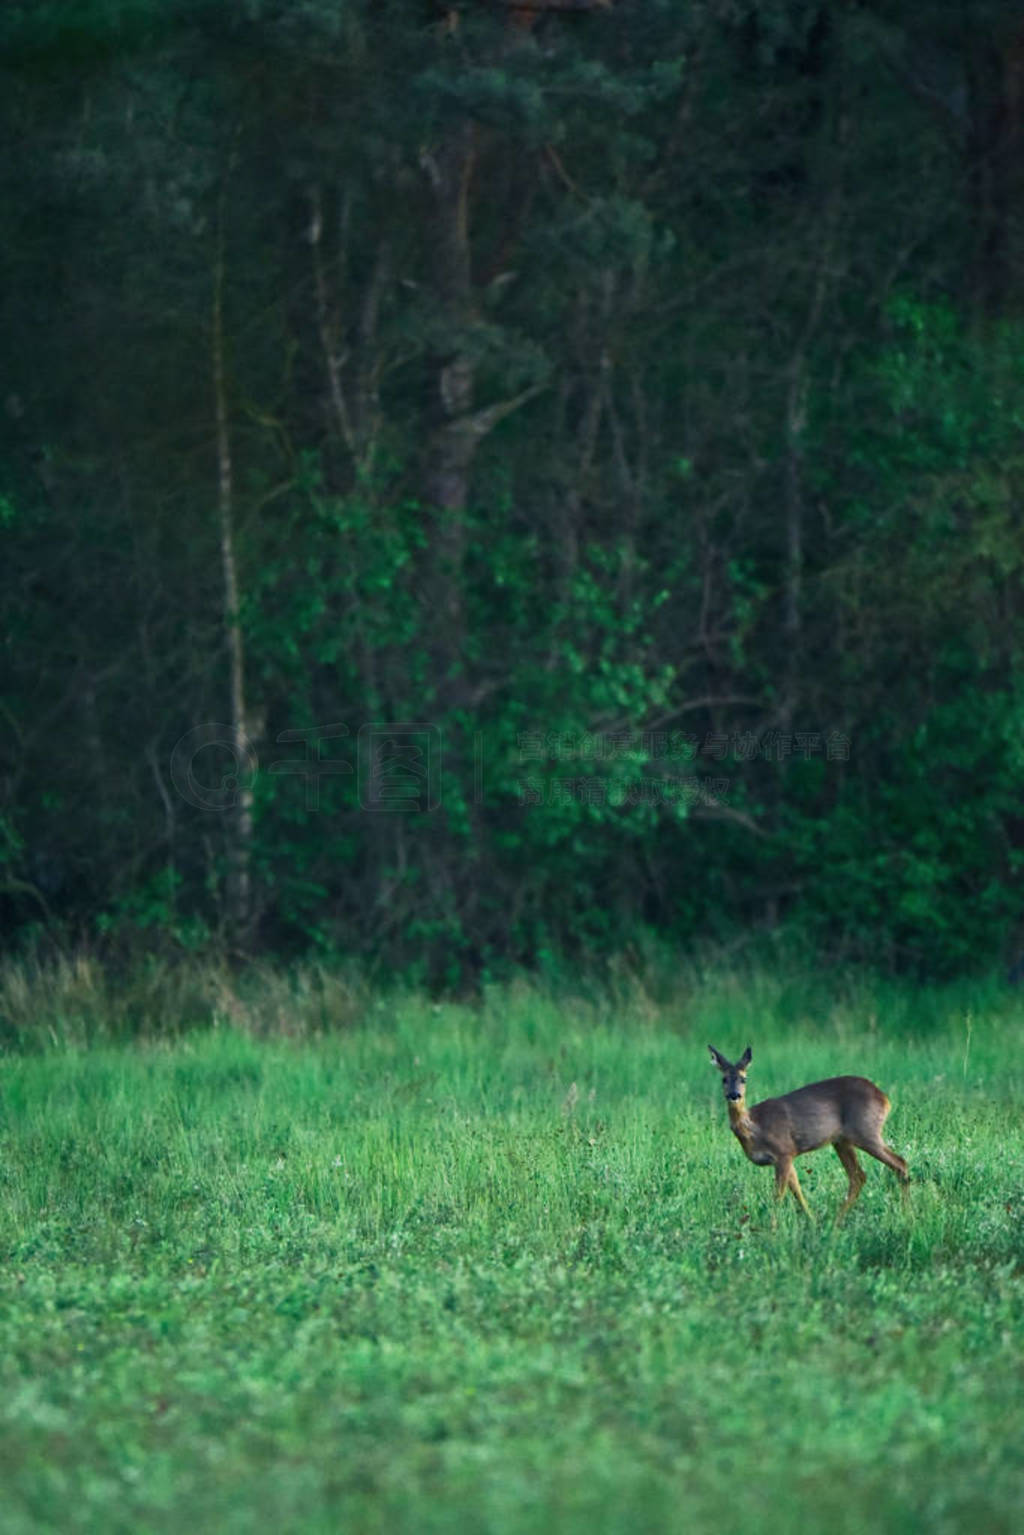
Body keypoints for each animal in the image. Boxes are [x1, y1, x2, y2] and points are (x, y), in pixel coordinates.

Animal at [709, 1049, 908, 1215]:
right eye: (724, 1079)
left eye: (744, 1078)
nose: (734, 1095)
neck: (755, 1128)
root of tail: (885, 1099)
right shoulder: (786, 1158)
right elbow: (798, 1194)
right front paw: (812, 1223)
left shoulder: (784, 1151)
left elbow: (778, 1198)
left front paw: (772, 1230)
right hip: (842, 1141)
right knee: (858, 1176)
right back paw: (835, 1223)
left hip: (866, 1132)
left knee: (900, 1163)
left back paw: (906, 1214)